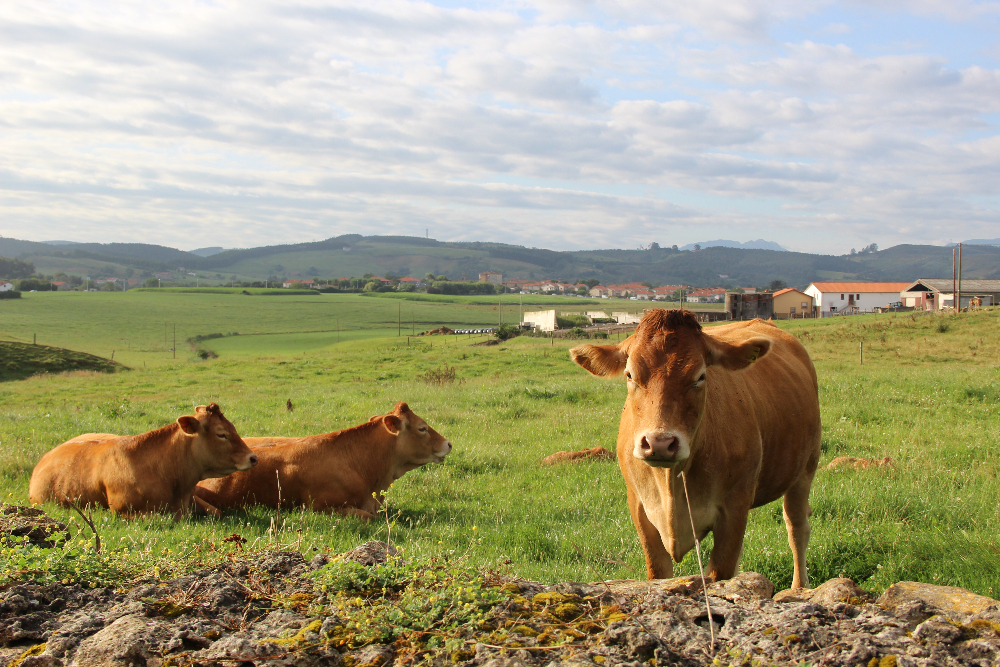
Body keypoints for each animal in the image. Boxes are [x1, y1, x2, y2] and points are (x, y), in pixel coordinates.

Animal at [572, 310, 820, 588]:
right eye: (630, 375)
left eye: (700, 376)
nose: (660, 443)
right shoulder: (639, 508)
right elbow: (657, 573)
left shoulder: (735, 509)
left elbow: (720, 572)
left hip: (805, 468)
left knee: (797, 528)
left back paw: (799, 587)